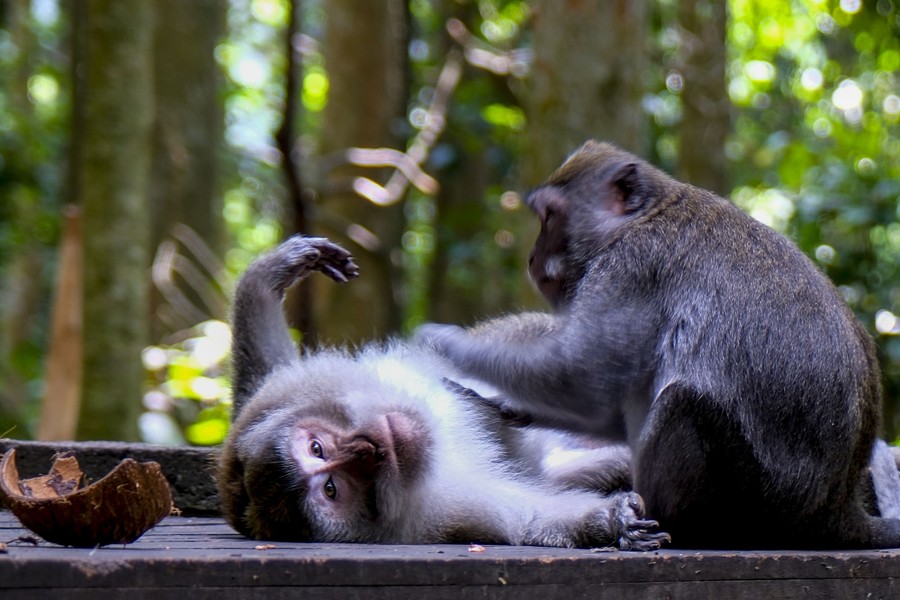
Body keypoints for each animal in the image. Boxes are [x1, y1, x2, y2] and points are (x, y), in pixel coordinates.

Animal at [216, 235, 669, 550]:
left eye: (316, 447)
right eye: (332, 490)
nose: (368, 449)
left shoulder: (278, 396)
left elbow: (267, 372)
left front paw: (268, 275)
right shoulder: (443, 513)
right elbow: (532, 516)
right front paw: (610, 522)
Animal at [416, 140, 900, 549]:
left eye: (550, 216)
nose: (533, 258)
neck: (648, 213)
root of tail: (836, 511)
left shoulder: (630, 267)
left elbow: (583, 380)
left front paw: (445, 342)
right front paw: (503, 404)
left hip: (757, 505)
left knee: (681, 402)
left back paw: (659, 522)